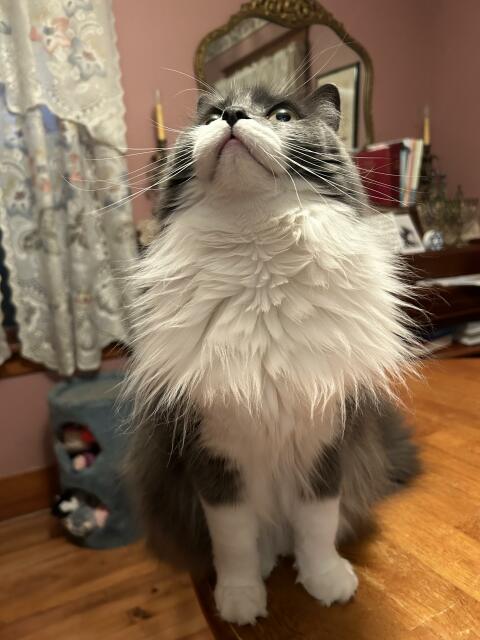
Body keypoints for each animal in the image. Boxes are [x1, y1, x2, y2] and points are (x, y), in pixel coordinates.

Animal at [124, 81, 420, 624]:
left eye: (281, 115)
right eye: (212, 117)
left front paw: (327, 582)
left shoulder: (325, 442)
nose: (233, 118)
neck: (256, 252)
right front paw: (240, 599)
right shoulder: (213, 455)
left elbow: (318, 525)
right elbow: (233, 540)